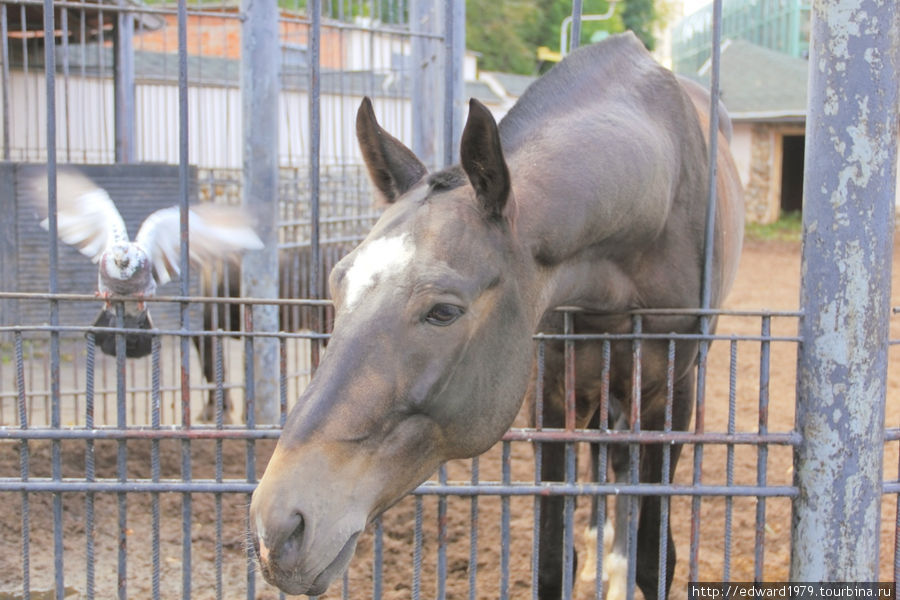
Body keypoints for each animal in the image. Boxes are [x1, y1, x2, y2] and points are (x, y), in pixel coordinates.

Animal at [250, 34, 740, 600]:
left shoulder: (670, 397)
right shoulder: (554, 392)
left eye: (444, 311)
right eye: (337, 283)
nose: (278, 527)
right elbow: (553, 557)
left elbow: (654, 556)